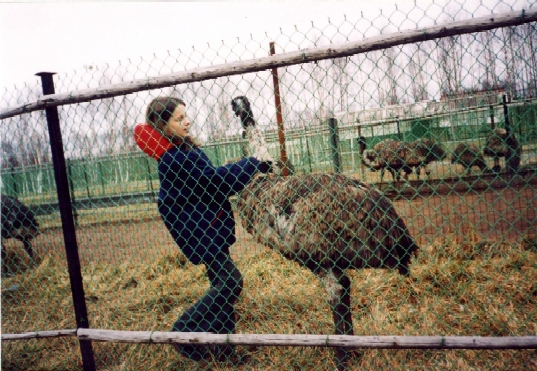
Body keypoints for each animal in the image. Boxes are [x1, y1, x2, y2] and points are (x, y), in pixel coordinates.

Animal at [230, 96, 418, 371]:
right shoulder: (330, 261)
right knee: (345, 288)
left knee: (337, 294)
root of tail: (398, 234)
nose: (235, 108)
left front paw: (342, 357)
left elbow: (336, 294)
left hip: (321, 254)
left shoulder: (315, 258)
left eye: (234, 104)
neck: (264, 179)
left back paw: (342, 357)